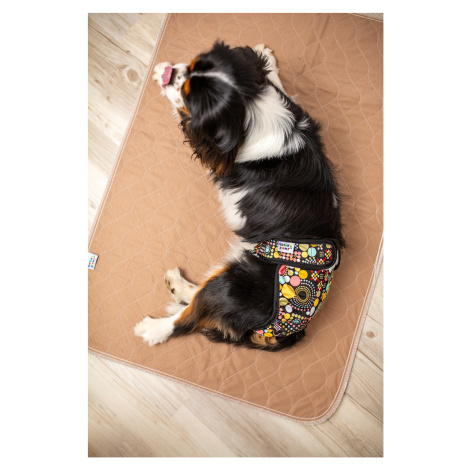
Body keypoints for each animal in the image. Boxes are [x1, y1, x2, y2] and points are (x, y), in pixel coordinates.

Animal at [134, 41, 345, 351]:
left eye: (189, 94)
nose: (171, 73)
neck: (251, 110)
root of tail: (287, 332)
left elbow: (184, 117)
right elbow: (274, 83)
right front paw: (265, 58)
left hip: (234, 283)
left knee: (191, 317)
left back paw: (154, 327)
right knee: (201, 300)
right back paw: (177, 286)